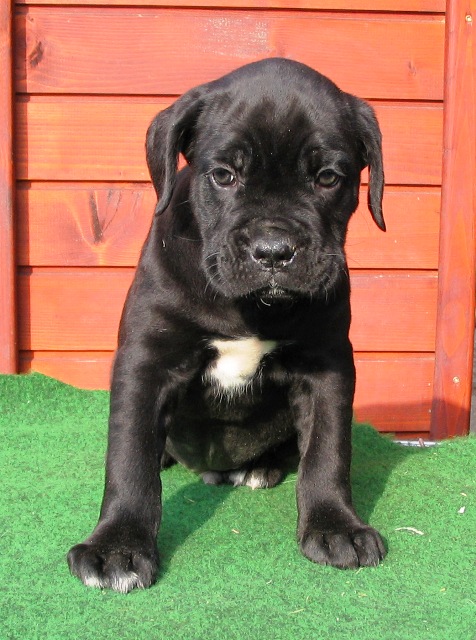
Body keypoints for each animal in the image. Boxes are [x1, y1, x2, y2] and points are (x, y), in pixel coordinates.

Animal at [67, 57, 386, 592]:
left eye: (328, 177)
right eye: (223, 175)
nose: (274, 252)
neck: (248, 307)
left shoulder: (326, 365)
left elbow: (328, 449)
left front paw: (336, 526)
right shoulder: (147, 360)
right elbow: (129, 457)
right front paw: (118, 546)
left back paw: (262, 467)